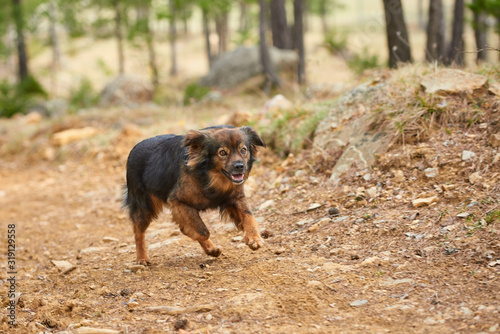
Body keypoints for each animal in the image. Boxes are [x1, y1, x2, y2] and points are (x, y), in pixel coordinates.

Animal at [123, 125, 268, 266]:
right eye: (222, 153)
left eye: (243, 150)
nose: (240, 166)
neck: (211, 177)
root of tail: (135, 148)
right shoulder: (178, 201)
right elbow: (201, 231)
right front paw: (189, 231)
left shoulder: (235, 198)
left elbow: (249, 216)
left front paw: (254, 238)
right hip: (144, 206)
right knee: (138, 232)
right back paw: (142, 258)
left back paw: (212, 249)